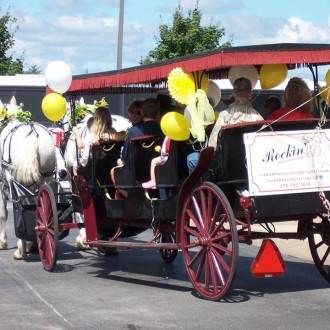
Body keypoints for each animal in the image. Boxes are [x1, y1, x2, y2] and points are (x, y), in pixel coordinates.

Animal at [0, 120, 55, 260]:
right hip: (45, 178)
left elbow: (3, 214)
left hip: (15, 179)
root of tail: (33, 134)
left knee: (20, 206)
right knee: (41, 206)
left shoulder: (1, 186)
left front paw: (2, 242)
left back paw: (21, 249)